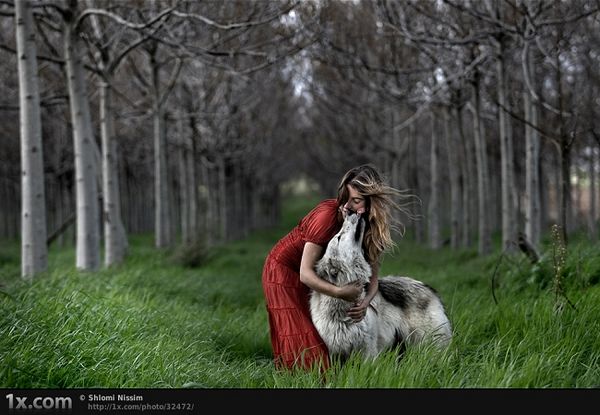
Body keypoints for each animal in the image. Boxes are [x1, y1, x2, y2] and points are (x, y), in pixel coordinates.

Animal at [310, 213, 450, 362]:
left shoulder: (367, 350)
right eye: (339, 237)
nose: (351, 213)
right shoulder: (333, 352)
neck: (342, 311)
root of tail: (429, 288)